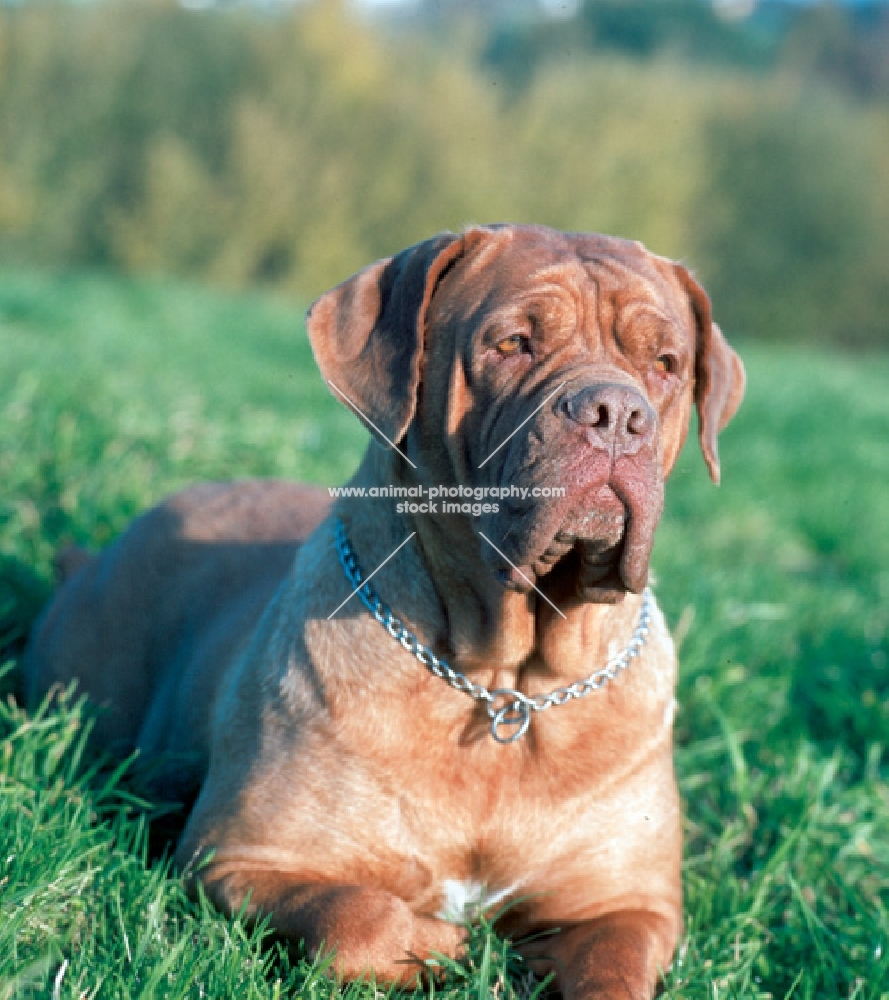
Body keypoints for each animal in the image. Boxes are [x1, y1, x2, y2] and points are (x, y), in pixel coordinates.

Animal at [22, 227, 744, 1000]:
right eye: (513, 343)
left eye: (665, 364)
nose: (616, 414)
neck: (504, 683)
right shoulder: (238, 856)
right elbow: (358, 918)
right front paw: (458, 949)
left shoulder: (627, 905)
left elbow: (612, 970)